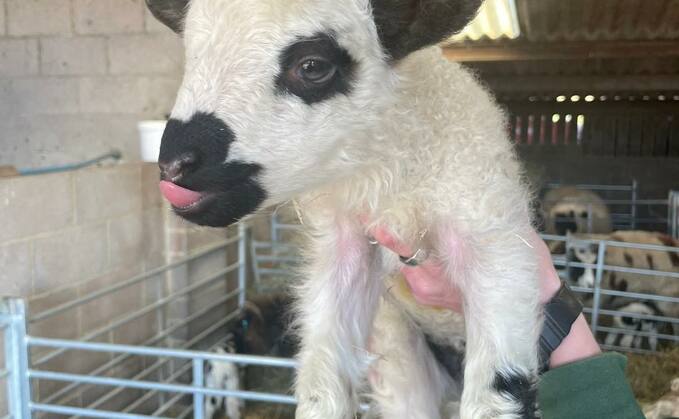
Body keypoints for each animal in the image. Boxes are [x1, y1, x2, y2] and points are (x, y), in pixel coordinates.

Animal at [147, 1, 540, 418]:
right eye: (191, 55)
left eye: (312, 66)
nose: (173, 166)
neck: (394, 182)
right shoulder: (344, 247)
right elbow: (321, 385)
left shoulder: (492, 235)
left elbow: (497, 394)